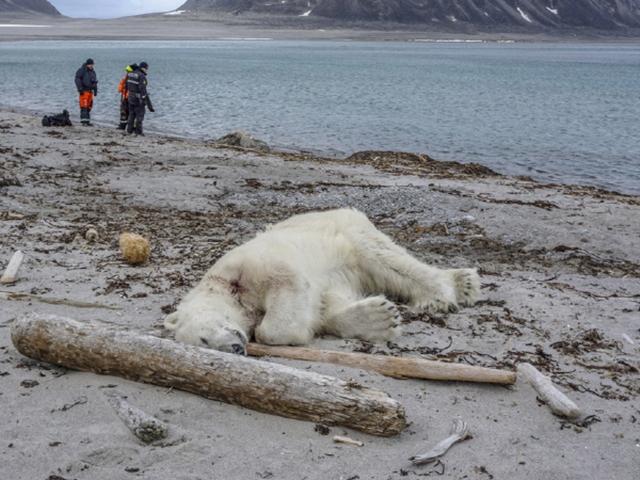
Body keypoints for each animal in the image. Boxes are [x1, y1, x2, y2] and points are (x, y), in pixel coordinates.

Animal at [165, 208, 480, 354]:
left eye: (204, 338)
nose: (235, 348)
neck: (226, 287)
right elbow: (325, 306)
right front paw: (379, 318)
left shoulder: (250, 265)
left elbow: (284, 294)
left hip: (348, 231)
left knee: (386, 259)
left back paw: (448, 291)